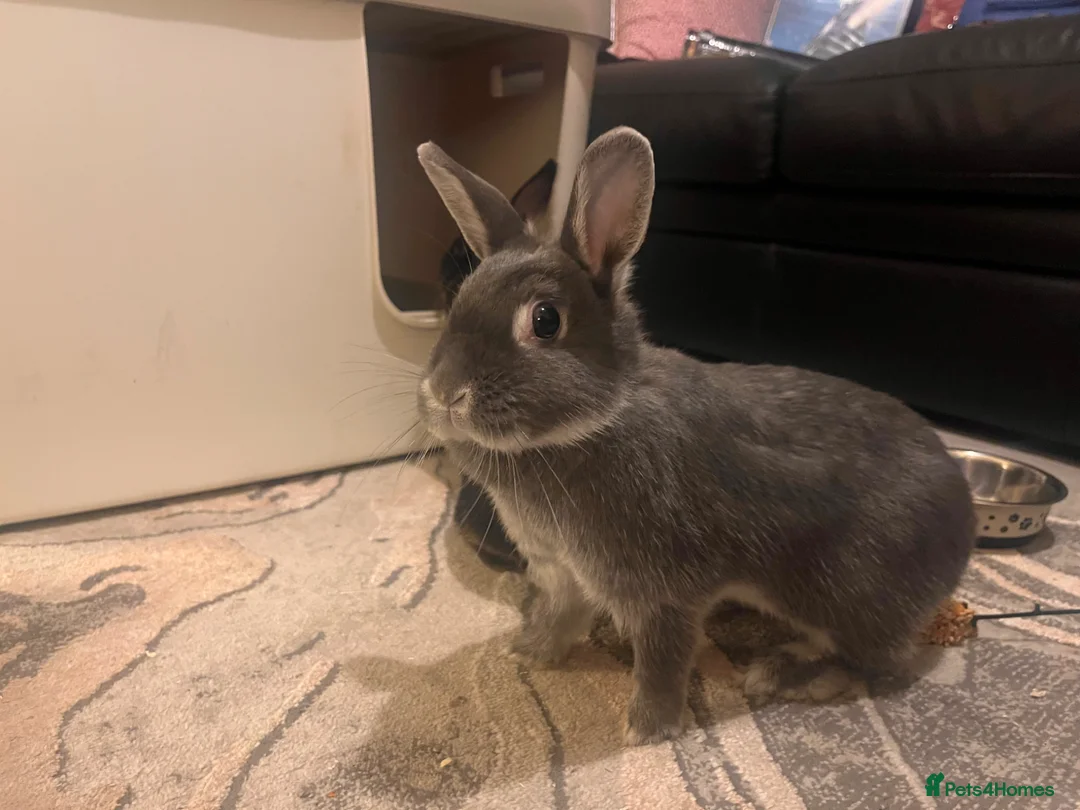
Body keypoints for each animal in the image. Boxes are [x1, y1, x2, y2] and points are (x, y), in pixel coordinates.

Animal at [414, 126, 976, 746]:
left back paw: (781, 673)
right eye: (456, 303)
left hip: (842, 596)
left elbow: (663, 661)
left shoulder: (663, 593)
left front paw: (645, 730)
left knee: (869, 663)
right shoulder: (563, 573)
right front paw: (529, 655)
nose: (446, 393)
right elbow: (559, 619)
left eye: (544, 321)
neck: (592, 423)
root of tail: (965, 521)